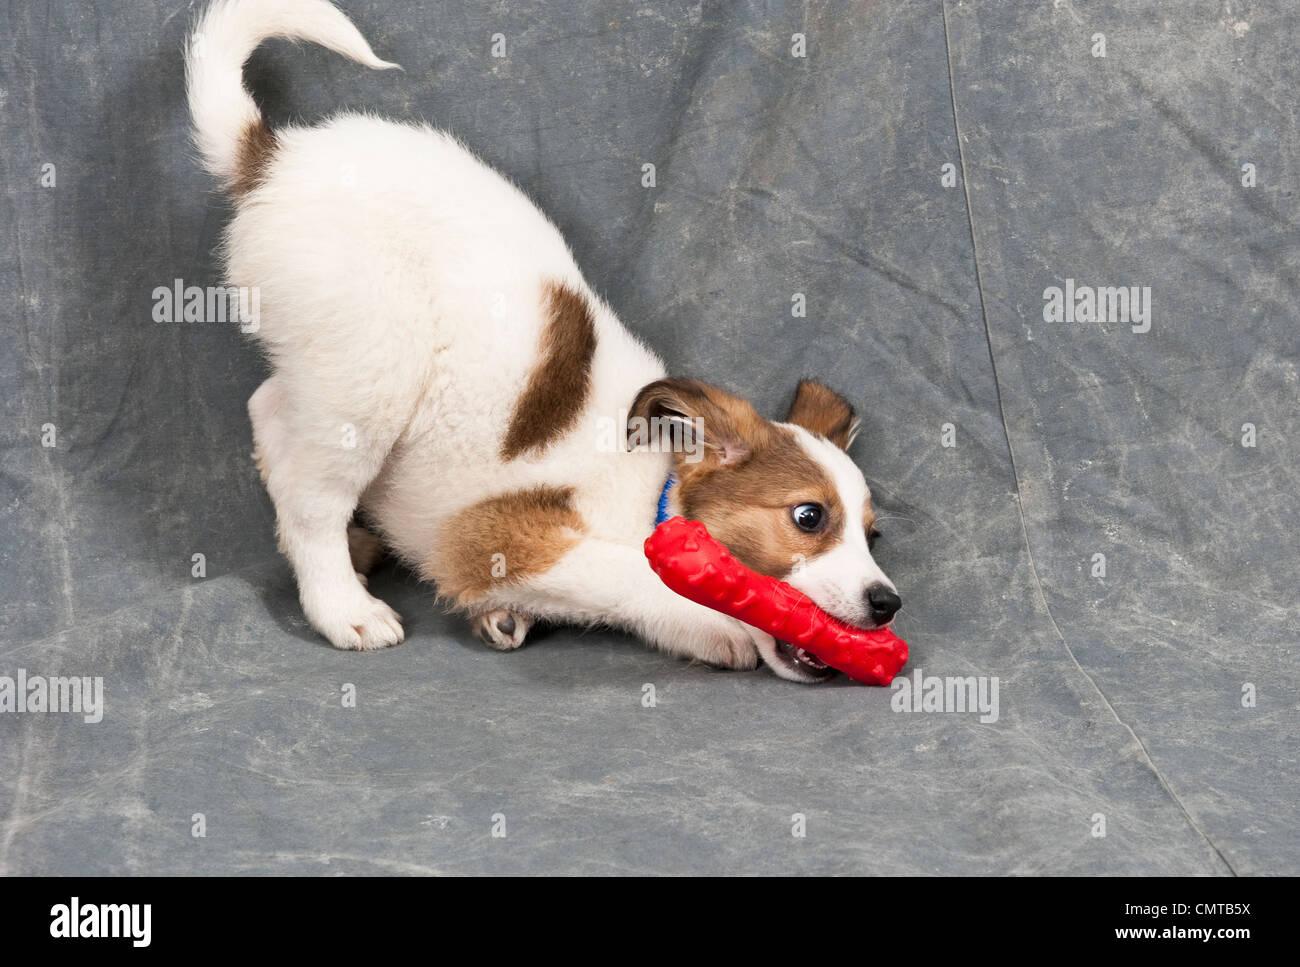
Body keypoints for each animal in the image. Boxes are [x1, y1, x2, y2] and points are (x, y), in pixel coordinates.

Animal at [188, 0, 899, 686]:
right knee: (312, 497)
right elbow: (635, 575)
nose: (888, 603)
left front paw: (505, 615)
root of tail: (276, 157)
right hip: (374, 368)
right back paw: (343, 607)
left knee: (270, 408)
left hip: (328, 358)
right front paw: (711, 622)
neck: (654, 496)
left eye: (873, 535)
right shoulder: (498, 536)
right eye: (808, 517)